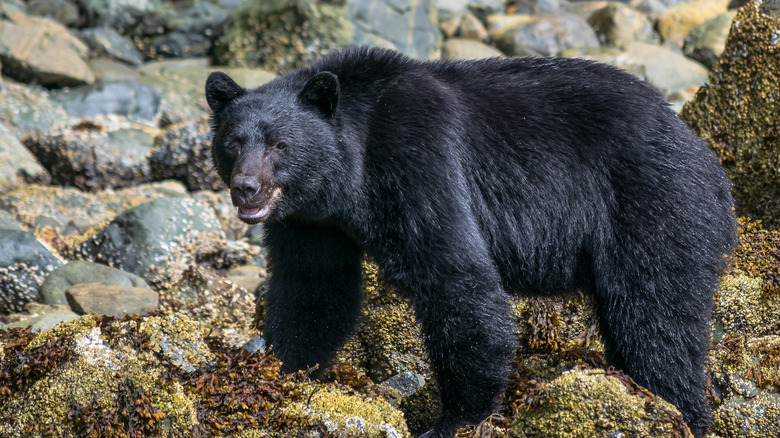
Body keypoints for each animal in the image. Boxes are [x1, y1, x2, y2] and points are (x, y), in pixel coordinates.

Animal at [204, 48, 736, 438]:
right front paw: (285, 373)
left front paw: (456, 417)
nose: (247, 189)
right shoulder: (313, 221)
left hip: (652, 206)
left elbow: (455, 278)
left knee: (655, 316)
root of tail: (709, 162)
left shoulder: (418, 163)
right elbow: (312, 289)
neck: (351, 172)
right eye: (233, 141)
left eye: (280, 144)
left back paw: (677, 407)